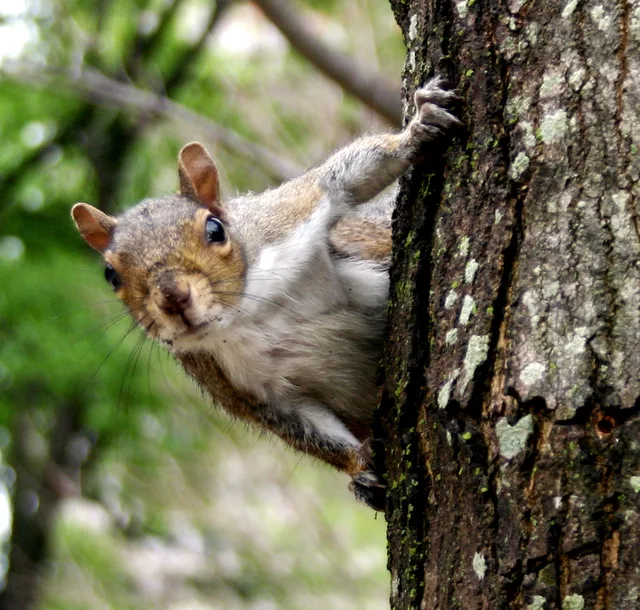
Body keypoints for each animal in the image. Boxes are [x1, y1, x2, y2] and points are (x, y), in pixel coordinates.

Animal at [71, 77, 459, 511]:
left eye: (215, 229)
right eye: (111, 275)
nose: (173, 297)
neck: (244, 315)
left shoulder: (287, 216)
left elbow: (340, 178)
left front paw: (418, 130)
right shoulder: (244, 389)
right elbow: (305, 430)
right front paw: (361, 468)